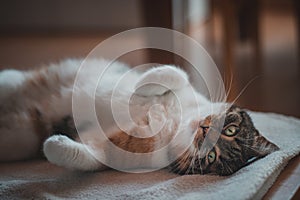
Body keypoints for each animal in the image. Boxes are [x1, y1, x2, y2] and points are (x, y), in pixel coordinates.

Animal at [0, 58, 278, 176]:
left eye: (212, 157)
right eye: (230, 130)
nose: (204, 129)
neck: (176, 123)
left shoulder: (114, 150)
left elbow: (89, 158)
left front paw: (54, 144)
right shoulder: (185, 87)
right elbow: (176, 73)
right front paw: (142, 86)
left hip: (19, 138)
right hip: (24, 81)